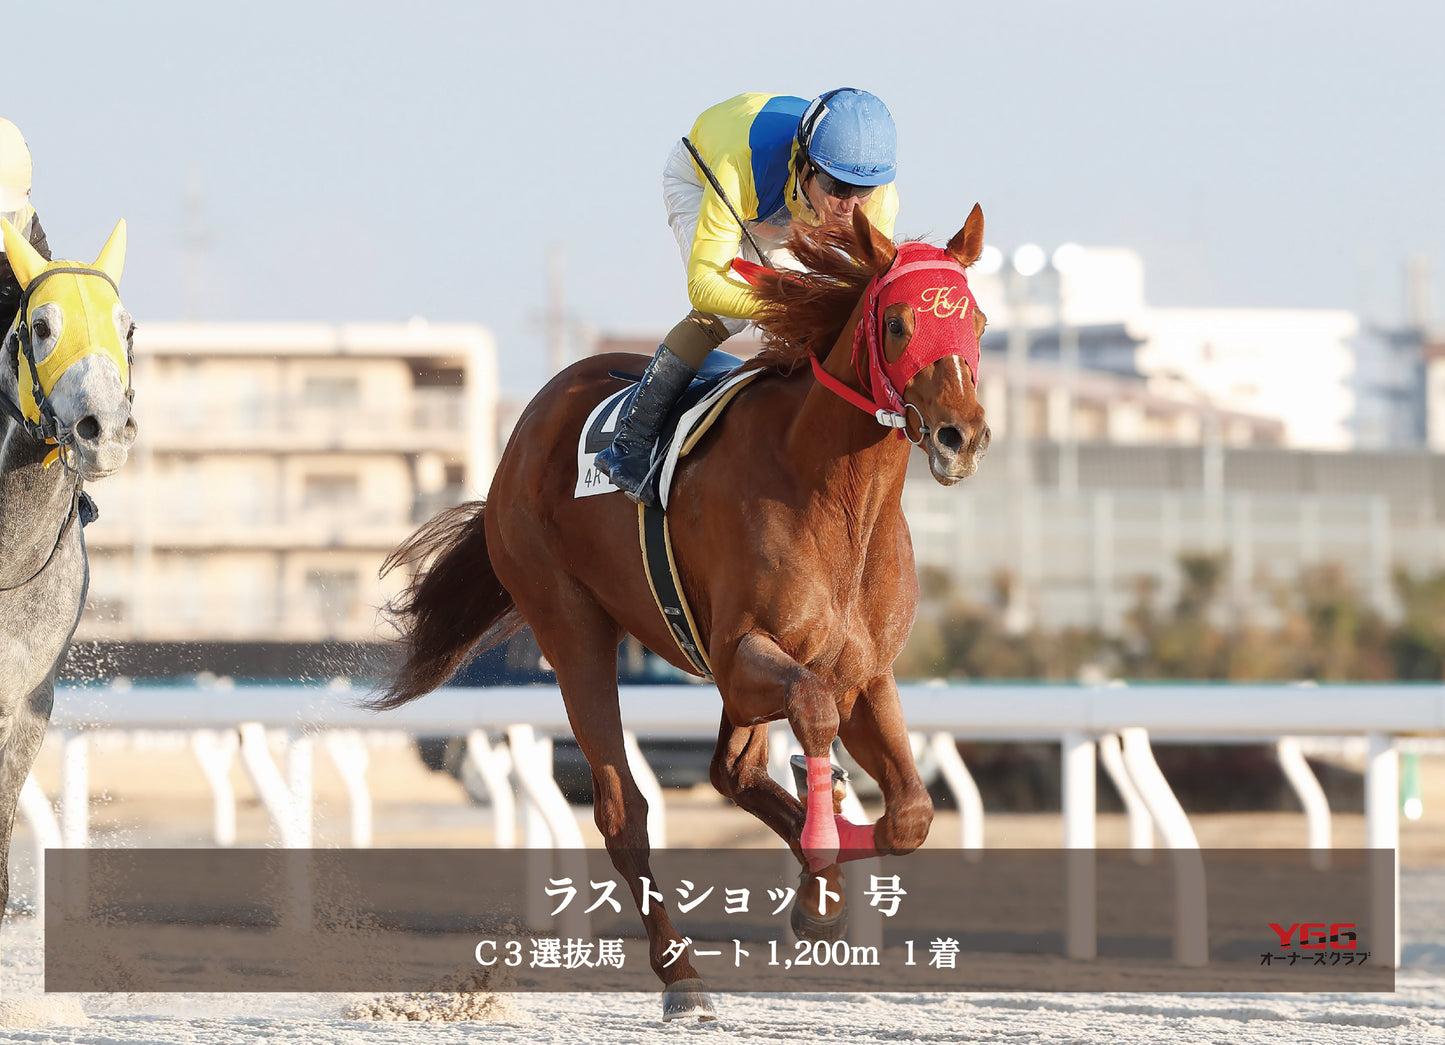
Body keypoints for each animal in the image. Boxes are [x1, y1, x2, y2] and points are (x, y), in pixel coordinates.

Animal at [373, 205, 989, 1021]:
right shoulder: (741, 654)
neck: (836, 499)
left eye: (976, 320)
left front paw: (826, 862)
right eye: (896, 322)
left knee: (731, 772)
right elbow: (813, 710)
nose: (962, 436)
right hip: (569, 624)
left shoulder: (863, 670)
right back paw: (682, 975)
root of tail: (529, 424)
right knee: (622, 810)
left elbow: (910, 814)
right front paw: (818, 875)